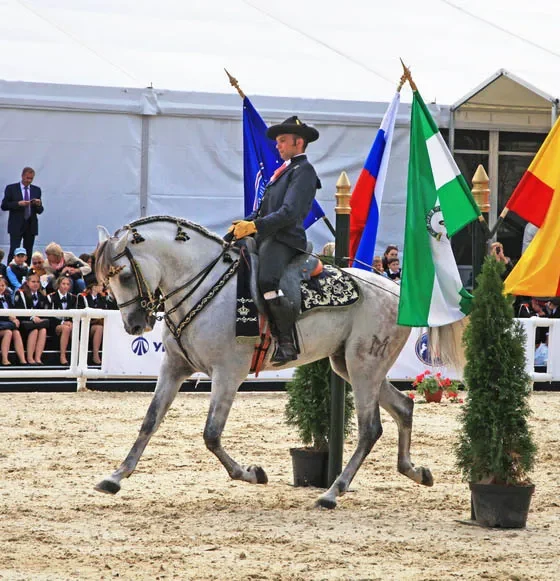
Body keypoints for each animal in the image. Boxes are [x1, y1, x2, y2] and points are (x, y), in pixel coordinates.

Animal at [96, 215, 464, 506]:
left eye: (124, 275)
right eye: (107, 280)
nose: (134, 325)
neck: (204, 287)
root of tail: (397, 291)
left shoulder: (228, 373)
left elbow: (211, 434)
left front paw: (251, 473)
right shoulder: (175, 367)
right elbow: (150, 420)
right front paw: (116, 476)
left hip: (364, 366)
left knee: (370, 428)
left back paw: (333, 492)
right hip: (350, 365)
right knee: (404, 407)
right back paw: (415, 471)